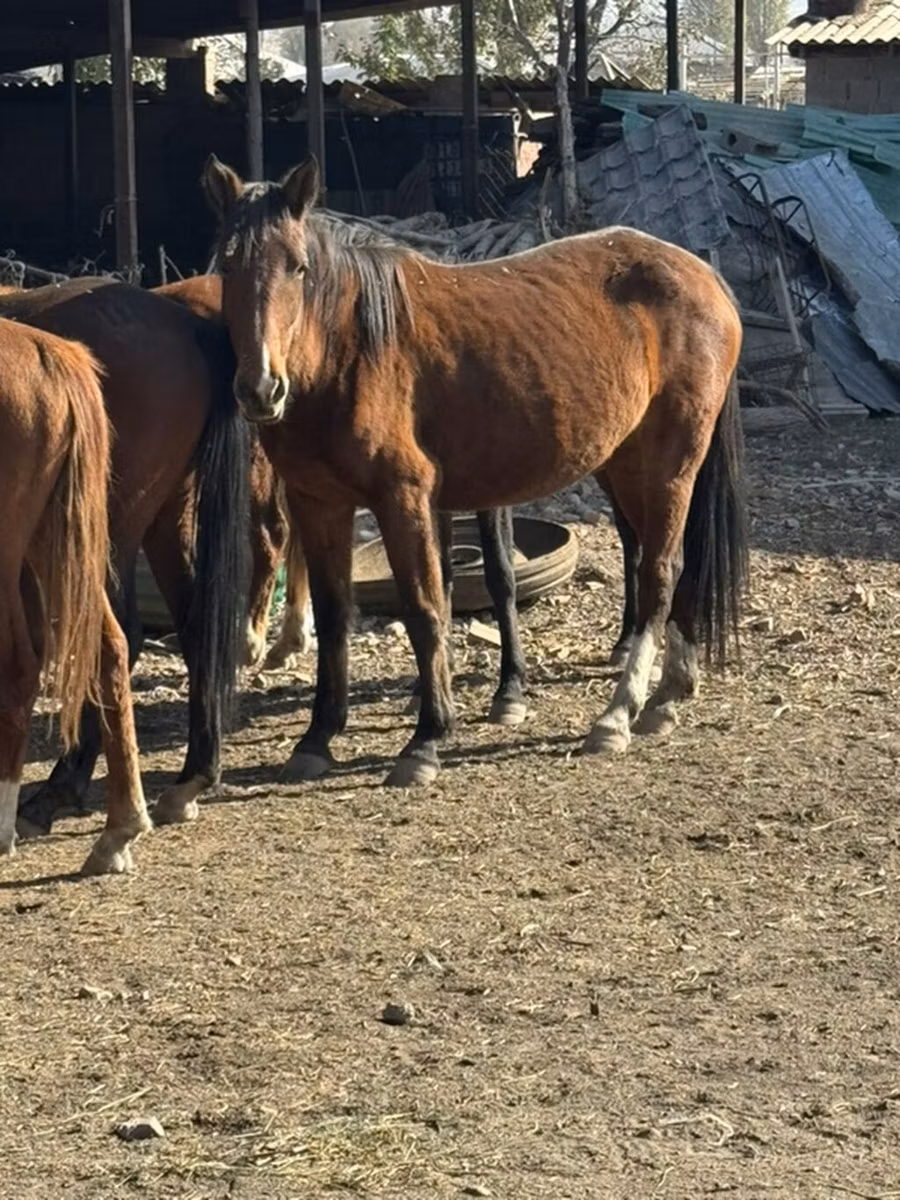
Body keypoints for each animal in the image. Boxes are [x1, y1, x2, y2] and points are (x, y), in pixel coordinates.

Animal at [205, 154, 748, 787]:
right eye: (227, 264)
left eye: (298, 266)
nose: (260, 389)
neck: (351, 350)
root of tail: (704, 276)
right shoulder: (320, 504)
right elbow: (337, 616)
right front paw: (317, 738)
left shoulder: (403, 498)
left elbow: (425, 610)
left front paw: (427, 740)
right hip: (628, 462)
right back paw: (670, 693)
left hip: (668, 462)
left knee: (661, 571)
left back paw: (618, 714)